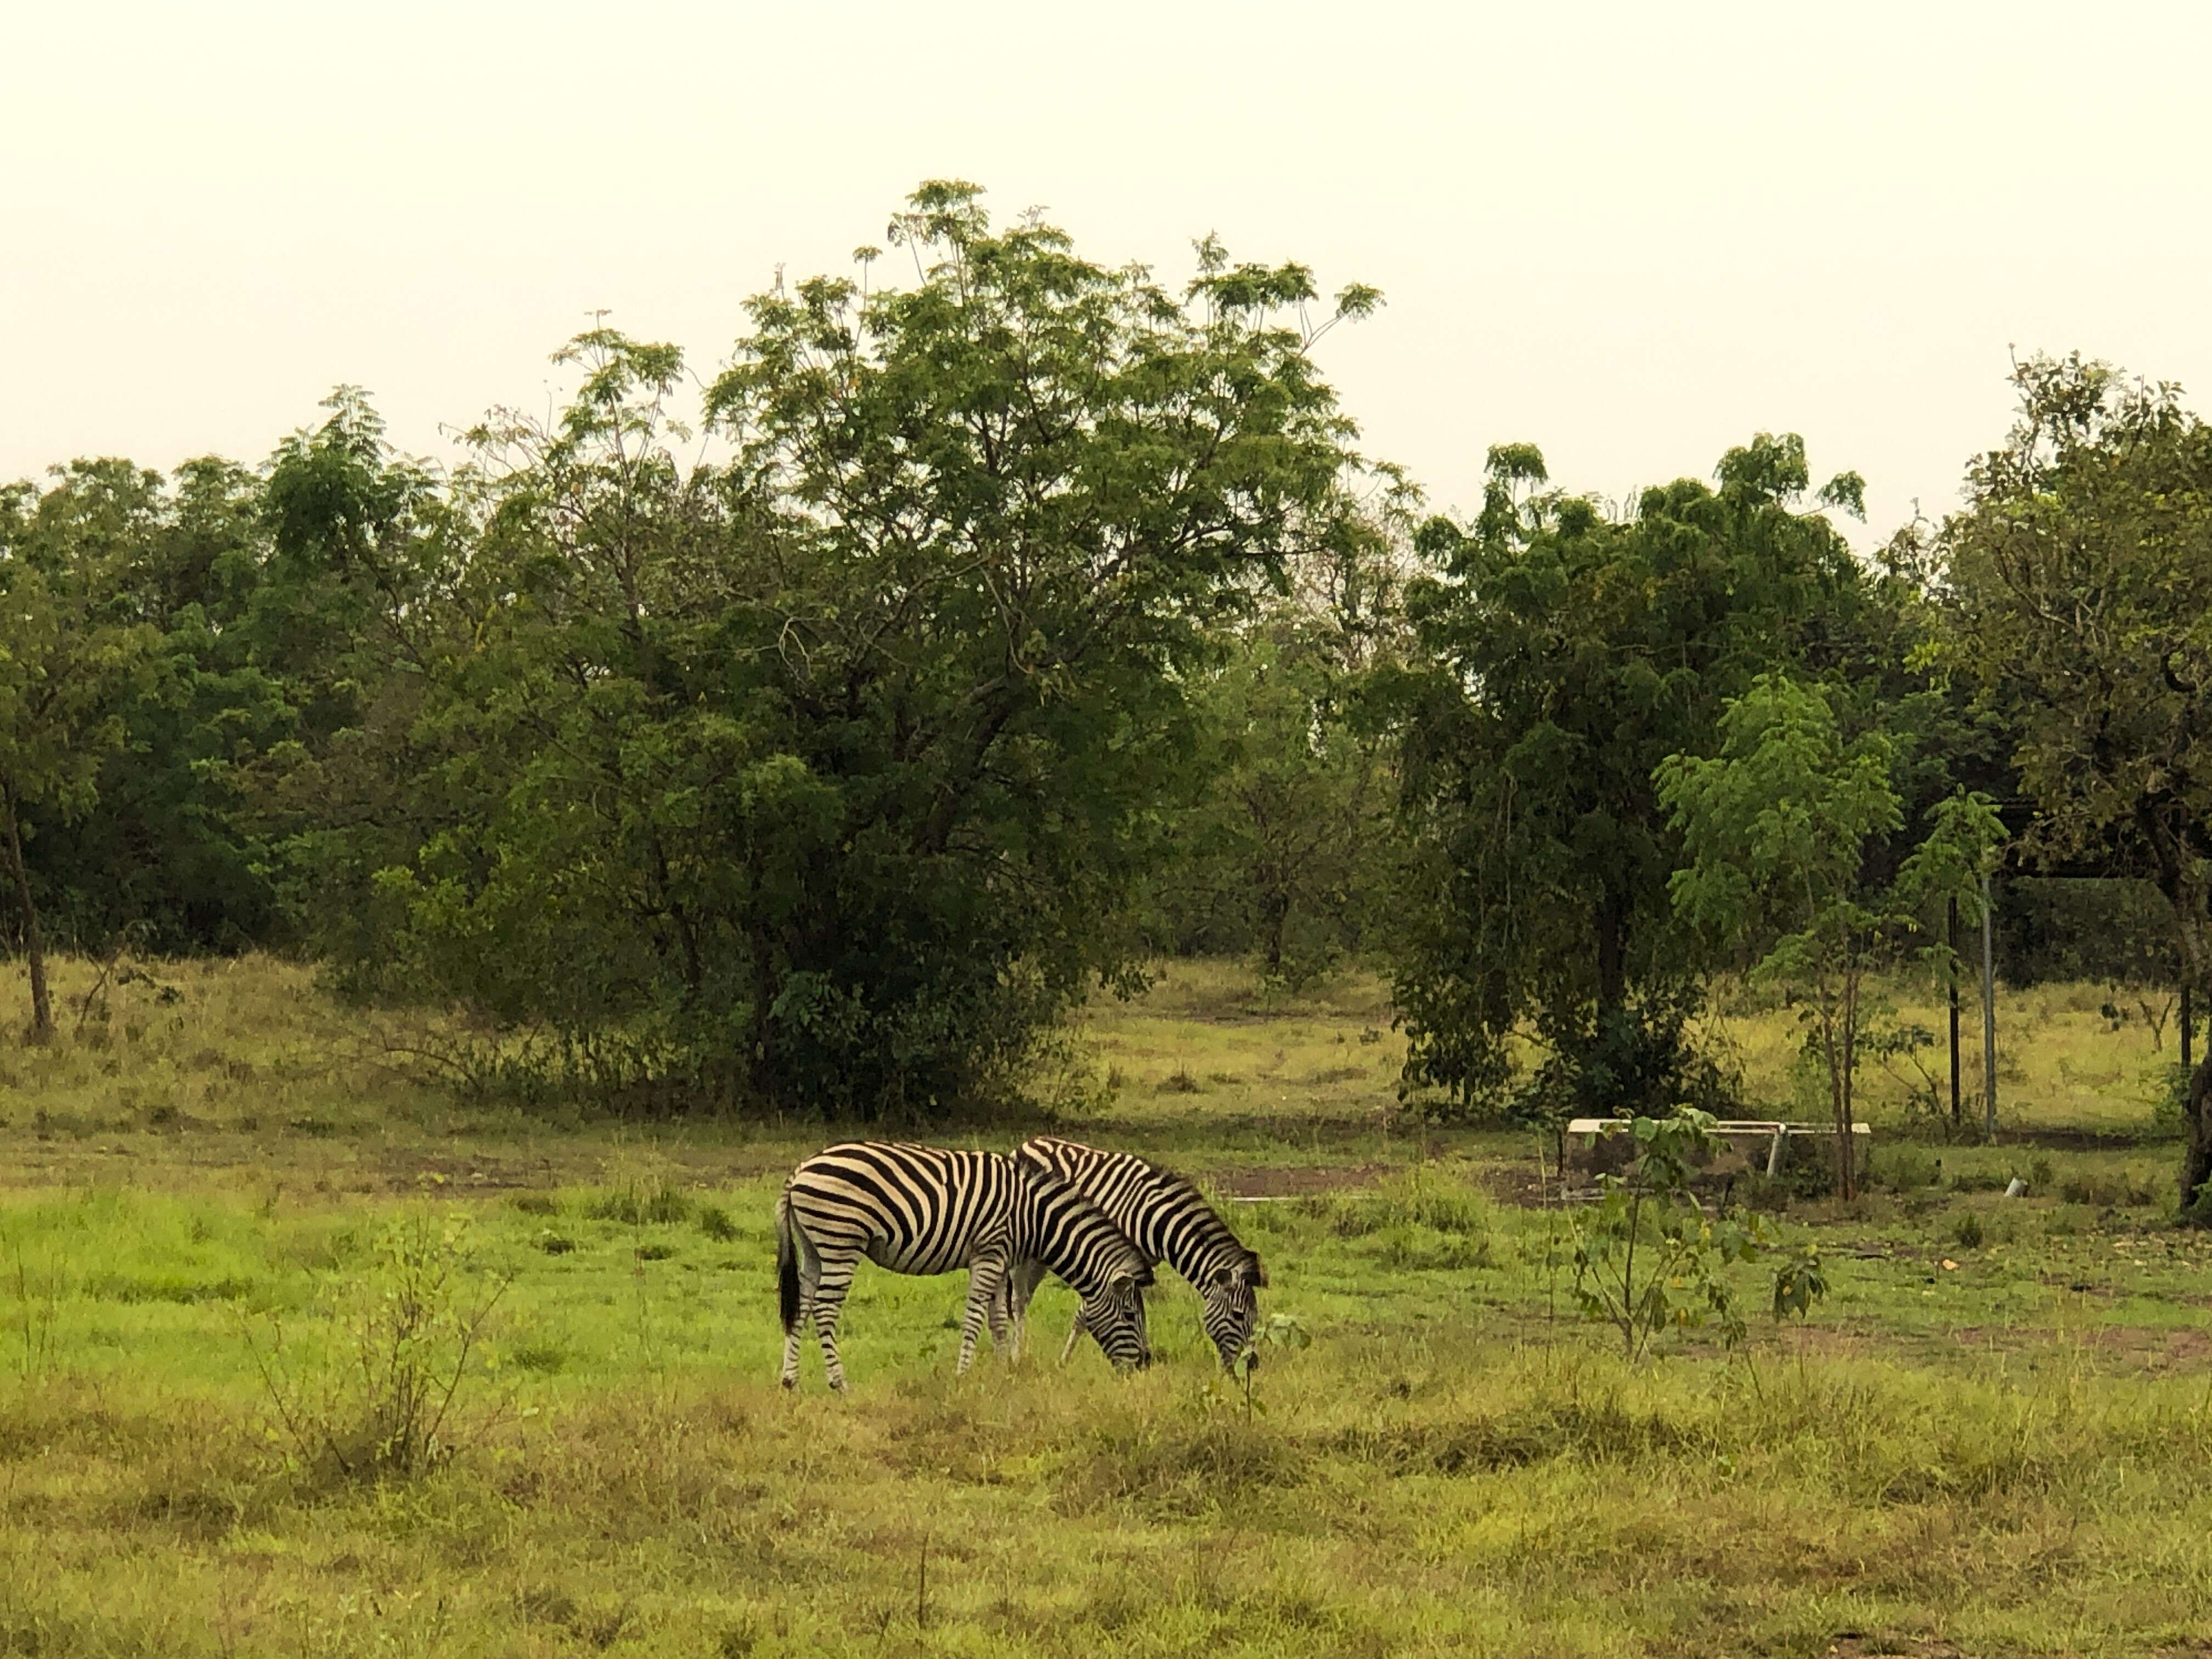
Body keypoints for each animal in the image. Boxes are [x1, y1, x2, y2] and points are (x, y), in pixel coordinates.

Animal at [778, 1141, 1159, 1389]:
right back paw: (839, 1383)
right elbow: (975, 1317)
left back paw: (790, 1380)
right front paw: (963, 1375)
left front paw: (1004, 1372)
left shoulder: (1001, 1258)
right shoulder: (989, 1252)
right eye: (1129, 1316)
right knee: (825, 1311)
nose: (1144, 1366)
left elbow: (999, 1320)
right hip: (841, 1242)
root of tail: (799, 1171)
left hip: (814, 1248)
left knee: (802, 1305)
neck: (1034, 1217)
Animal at [1000, 1141, 1274, 1380]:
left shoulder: (1137, 1267)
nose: (1252, 1365)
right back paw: (1014, 1357)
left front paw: (1144, 1356)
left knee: (1023, 1298)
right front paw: (1064, 1362)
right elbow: (1087, 1315)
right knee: (1017, 1301)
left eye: (1256, 1316)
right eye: (1238, 1315)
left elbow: (1137, 1309)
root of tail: (1029, 1143)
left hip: (1041, 1254)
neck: (1155, 1220)